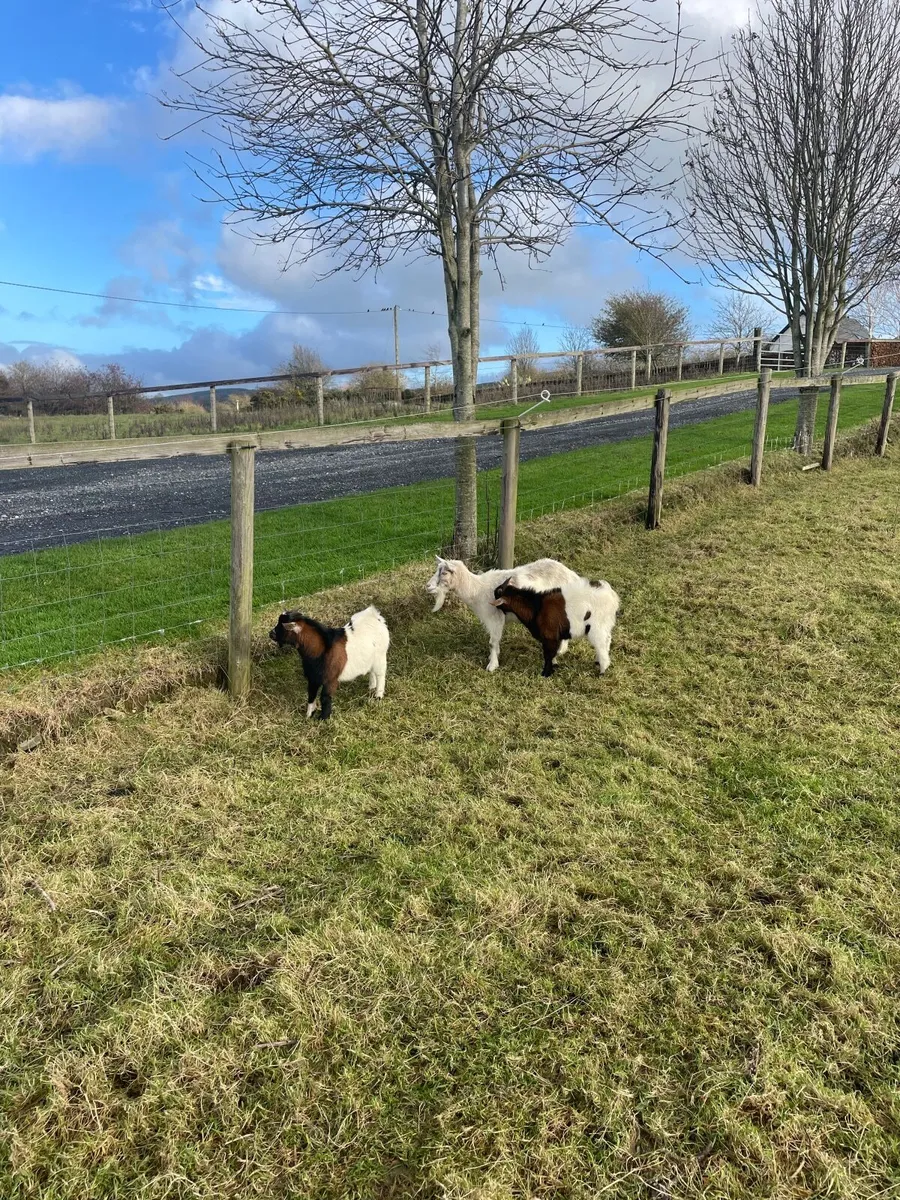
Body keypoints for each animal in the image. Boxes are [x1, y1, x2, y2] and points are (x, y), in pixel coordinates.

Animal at [425, 556, 582, 671]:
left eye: (444, 572)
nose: (428, 586)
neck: (477, 589)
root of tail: (573, 576)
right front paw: (494, 657)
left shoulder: (495, 618)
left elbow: (492, 643)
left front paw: (492, 665)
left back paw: (561, 650)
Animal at [491, 577, 620, 677]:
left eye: (497, 594)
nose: (494, 606)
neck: (536, 607)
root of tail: (612, 596)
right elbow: (553, 653)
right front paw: (554, 666)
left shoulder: (549, 636)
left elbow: (548, 655)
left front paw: (546, 673)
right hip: (605, 625)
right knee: (607, 641)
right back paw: (598, 662)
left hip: (596, 627)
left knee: (601, 645)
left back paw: (602, 670)